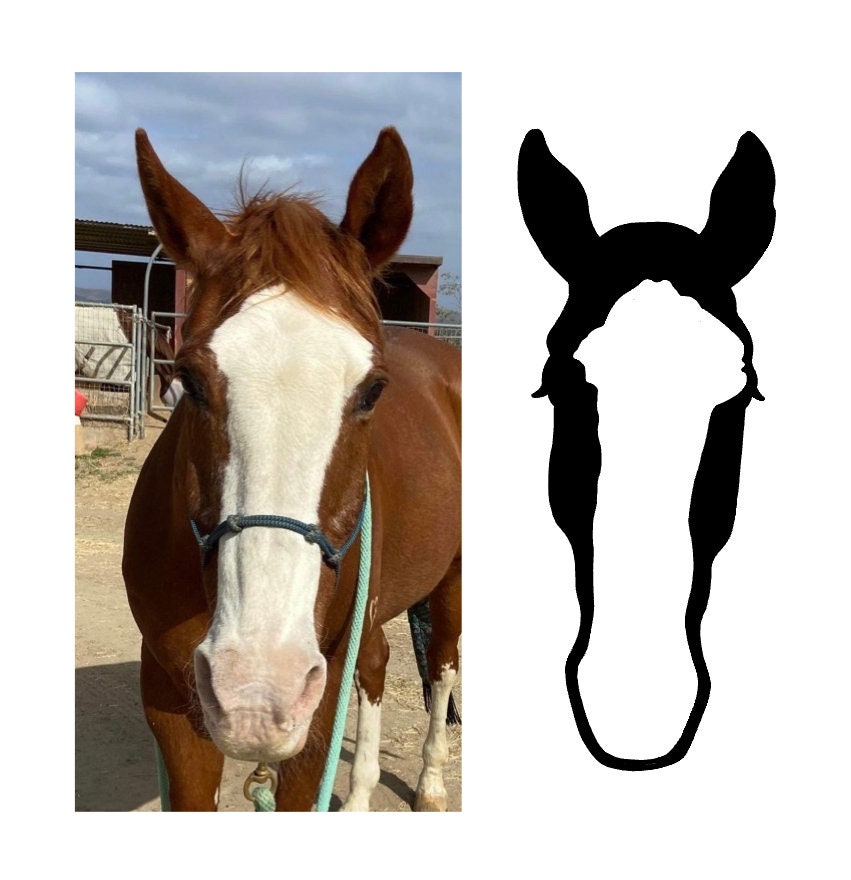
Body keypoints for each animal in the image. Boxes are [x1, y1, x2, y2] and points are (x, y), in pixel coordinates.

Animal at [122, 126, 461, 811]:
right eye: (191, 380)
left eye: (373, 390)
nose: (258, 688)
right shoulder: (171, 701)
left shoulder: (316, 712)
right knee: (376, 660)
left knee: (441, 666)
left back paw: (432, 782)